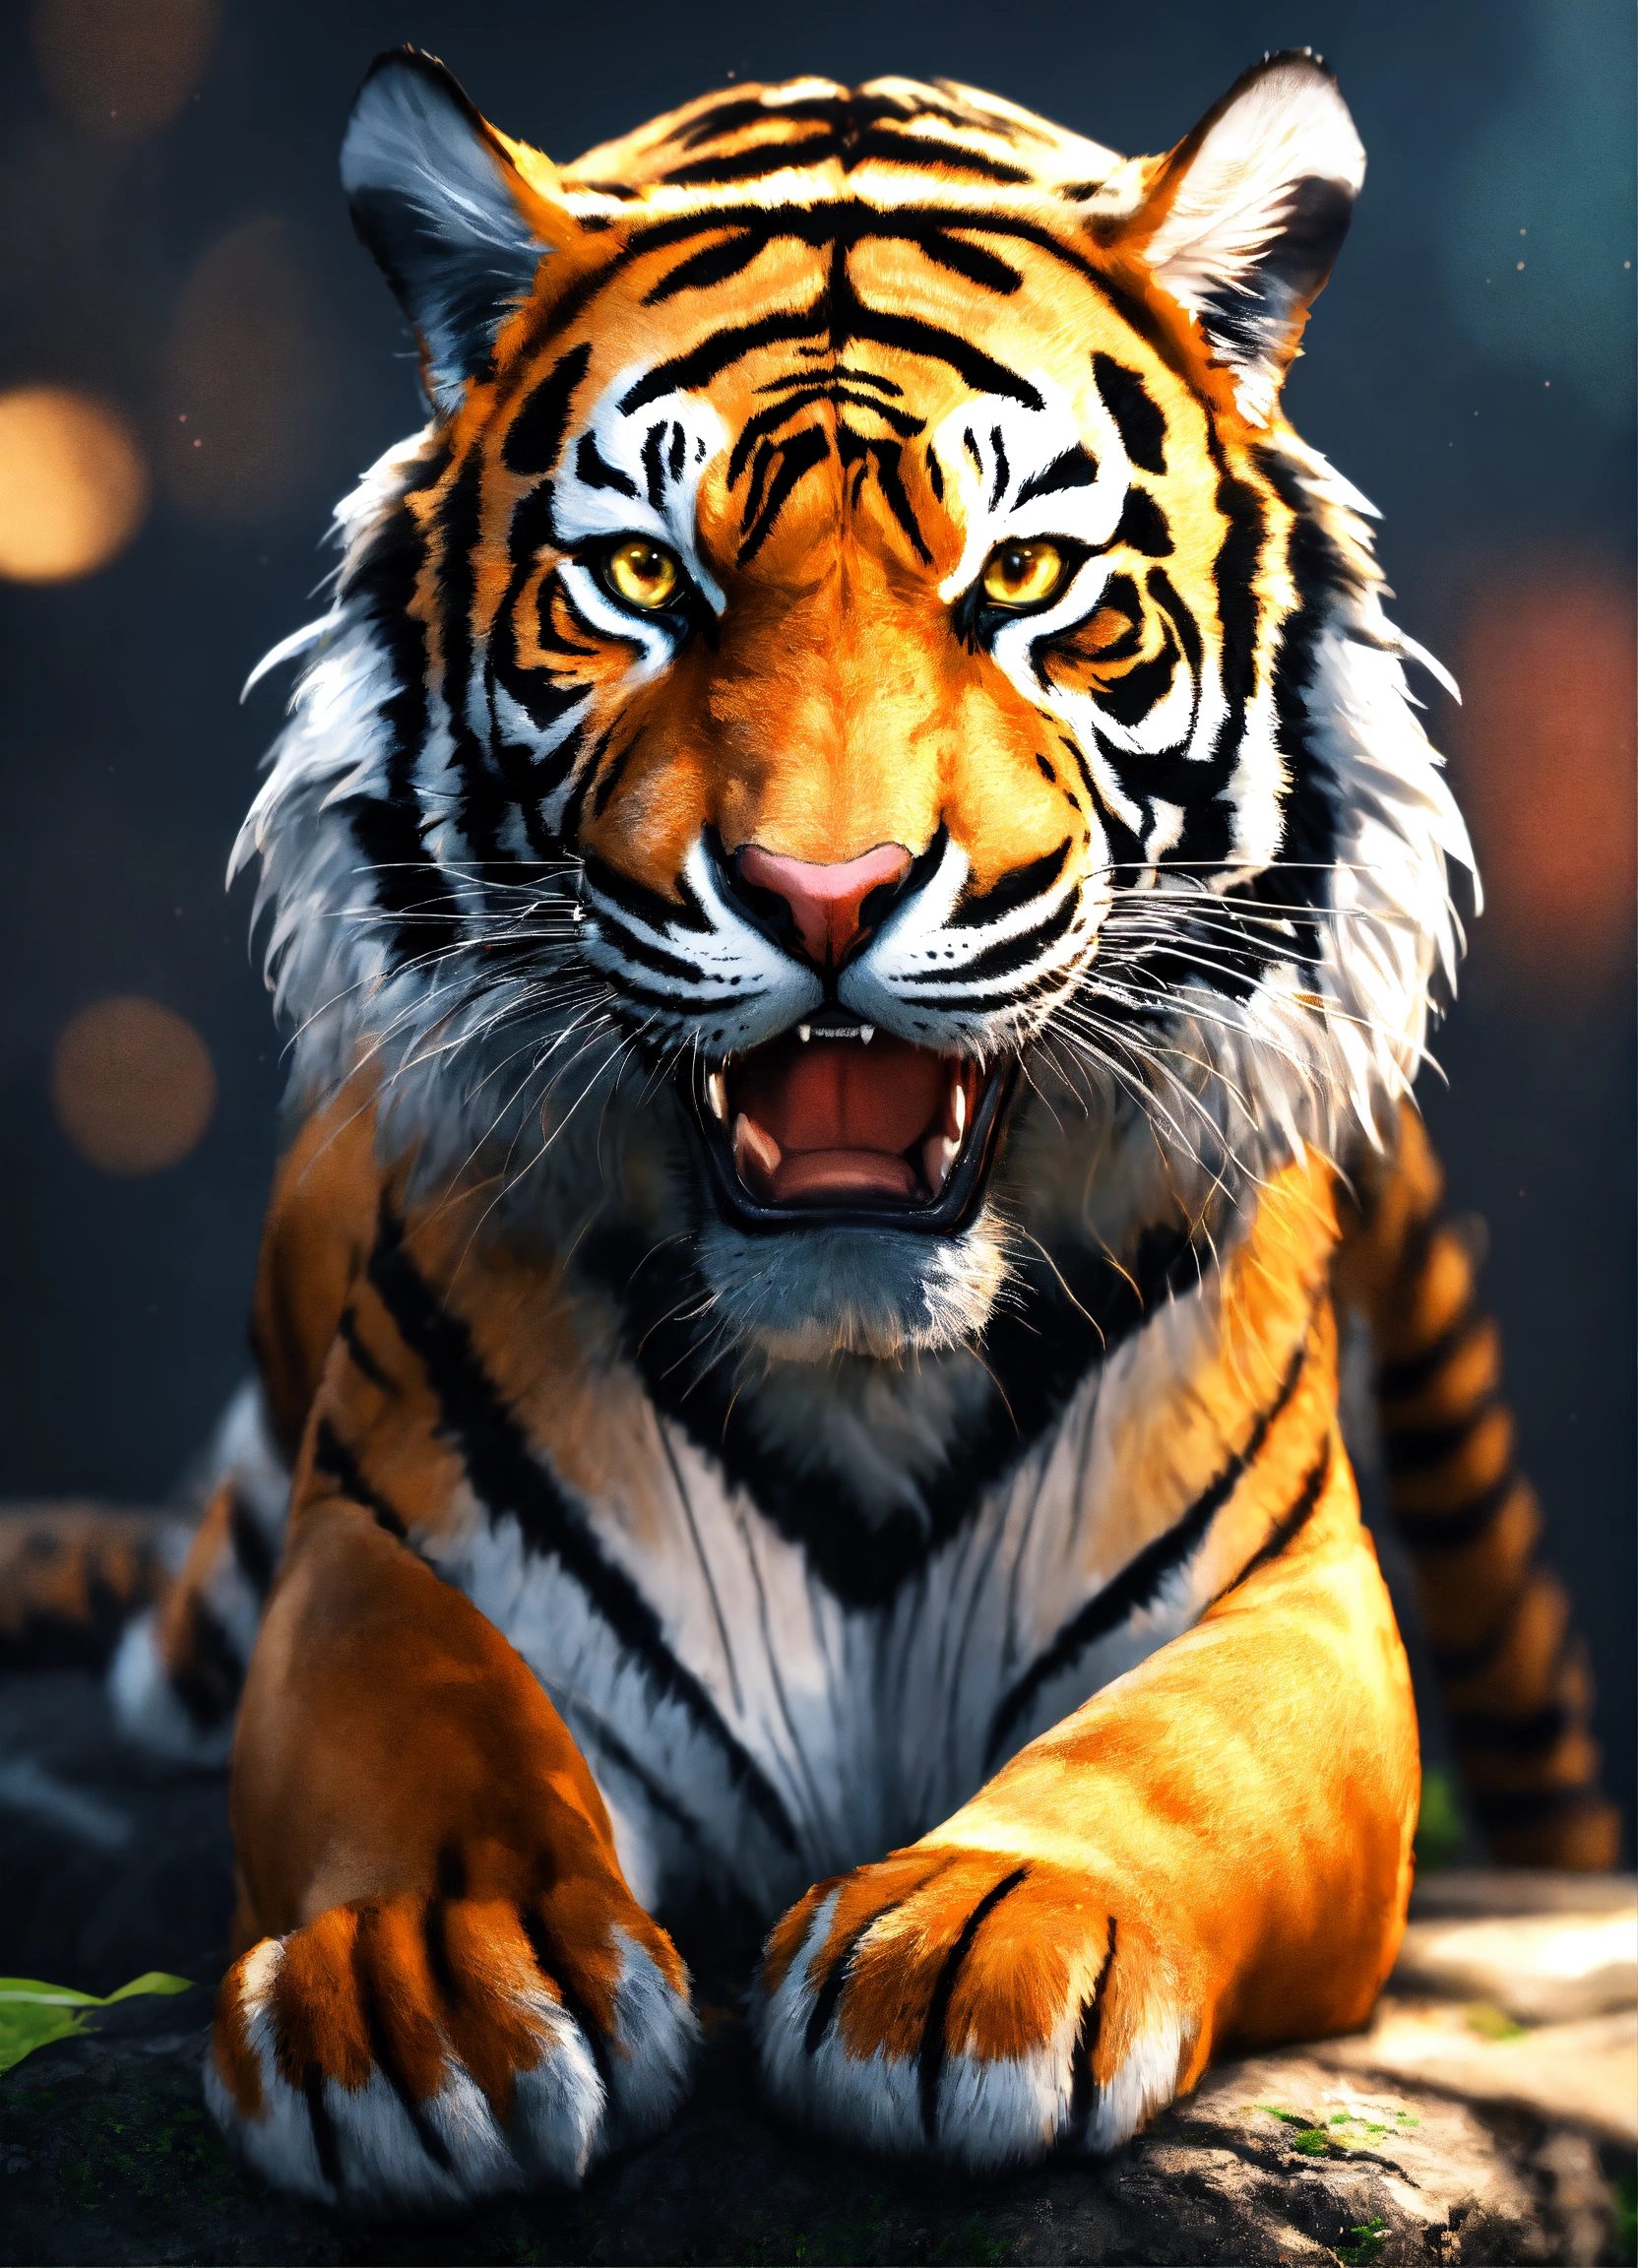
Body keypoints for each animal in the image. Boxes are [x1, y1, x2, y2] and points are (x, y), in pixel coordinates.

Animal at [55, 42, 1614, 2211]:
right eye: (642, 579)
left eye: (1023, 579)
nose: (822, 891)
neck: (859, 1368)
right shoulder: (389, 1553)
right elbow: (430, 1731)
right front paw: (435, 1978)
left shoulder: (1290, 1610)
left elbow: (1173, 1757)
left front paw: (979, 1939)